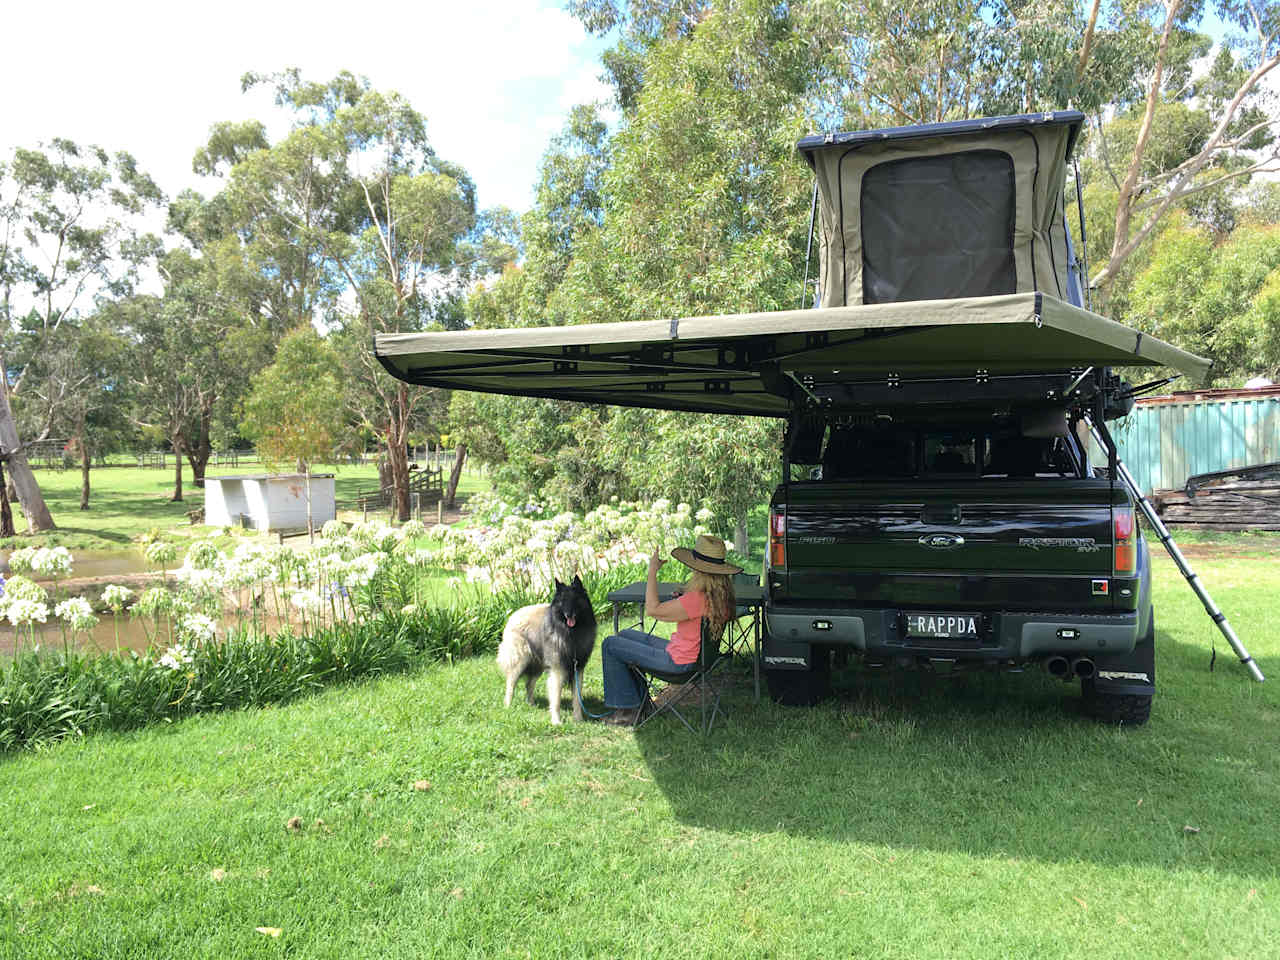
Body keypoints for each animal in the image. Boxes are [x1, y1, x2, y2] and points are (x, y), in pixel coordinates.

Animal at [499, 576, 599, 727]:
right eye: (562, 601)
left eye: (575, 599)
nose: (569, 614)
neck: (571, 633)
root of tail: (512, 616)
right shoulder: (557, 670)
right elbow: (556, 699)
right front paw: (556, 721)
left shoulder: (578, 669)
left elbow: (577, 698)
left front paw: (578, 719)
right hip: (520, 662)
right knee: (510, 684)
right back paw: (508, 706)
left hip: (538, 666)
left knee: (529, 684)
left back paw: (531, 704)